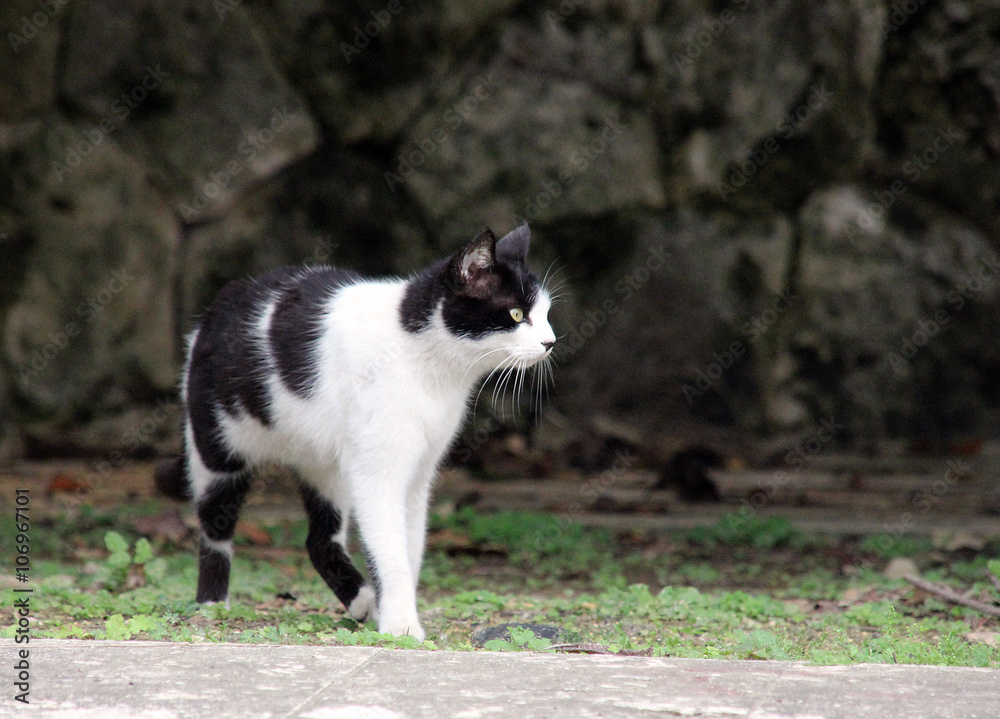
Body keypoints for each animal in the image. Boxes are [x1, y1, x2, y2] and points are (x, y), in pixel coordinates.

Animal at [180, 226, 556, 640]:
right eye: (516, 314)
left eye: (545, 314)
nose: (550, 342)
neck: (423, 357)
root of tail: (220, 303)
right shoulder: (379, 470)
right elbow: (389, 550)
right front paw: (401, 626)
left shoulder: (418, 473)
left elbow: (409, 548)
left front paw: (392, 612)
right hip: (217, 444)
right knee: (214, 523)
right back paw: (212, 601)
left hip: (325, 463)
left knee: (319, 540)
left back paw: (361, 600)